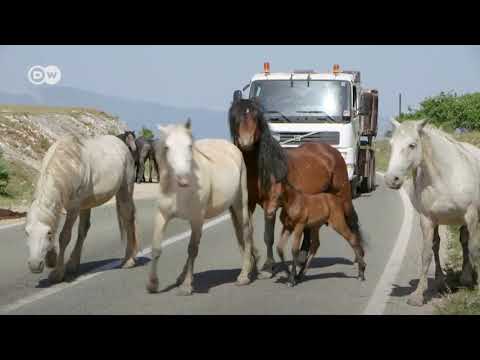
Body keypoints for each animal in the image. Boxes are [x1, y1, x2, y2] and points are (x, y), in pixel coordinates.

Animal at [25, 134, 139, 282]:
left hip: (125, 189)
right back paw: (73, 264)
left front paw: (58, 273)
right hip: (86, 204)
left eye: (48, 233)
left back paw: (129, 260)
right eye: (27, 233)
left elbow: (64, 237)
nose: (34, 265)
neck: (69, 164)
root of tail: (122, 144)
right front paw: (52, 259)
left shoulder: (73, 208)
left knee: (127, 218)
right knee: (84, 229)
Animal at [146, 120, 258, 296]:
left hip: (240, 203)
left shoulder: (197, 219)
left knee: (246, 232)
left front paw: (186, 286)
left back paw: (244, 275)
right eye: (167, 147)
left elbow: (192, 249)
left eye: (190, 146)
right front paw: (152, 284)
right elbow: (156, 248)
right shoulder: (162, 215)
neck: (179, 191)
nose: (183, 179)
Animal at [229, 99, 364, 282]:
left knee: (352, 222)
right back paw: (301, 261)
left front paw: (268, 267)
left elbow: (268, 236)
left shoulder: (270, 206)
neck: (260, 168)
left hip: (343, 195)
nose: (246, 142)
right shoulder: (248, 204)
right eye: (236, 118)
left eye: (256, 118)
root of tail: (331, 151)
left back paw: (359, 259)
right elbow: (248, 233)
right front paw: (251, 269)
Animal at [386, 119, 480, 306]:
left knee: (466, 243)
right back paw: (444, 282)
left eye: (412, 145)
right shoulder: (427, 220)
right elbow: (426, 254)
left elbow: (474, 249)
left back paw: (467, 279)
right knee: (442, 244)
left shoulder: (472, 216)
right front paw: (417, 295)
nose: (391, 179)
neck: (446, 176)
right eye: (391, 144)